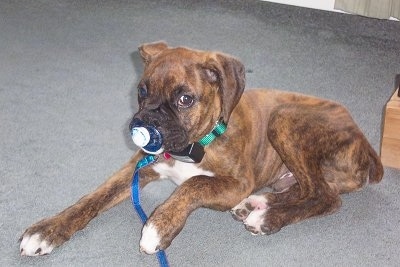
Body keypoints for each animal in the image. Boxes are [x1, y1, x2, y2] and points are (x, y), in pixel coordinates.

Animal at [20, 42, 382, 258]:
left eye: (185, 99)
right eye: (142, 91)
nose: (145, 122)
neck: (193, 145)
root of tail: (365, 143)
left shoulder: (234, 183)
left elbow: (194, 184)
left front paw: (160, 224)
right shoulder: (138, 167)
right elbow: (93, 197)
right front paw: (46, 231)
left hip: (285, 118)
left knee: (325, 196)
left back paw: (267, 218)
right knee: (305, 188)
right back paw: (257, 204)